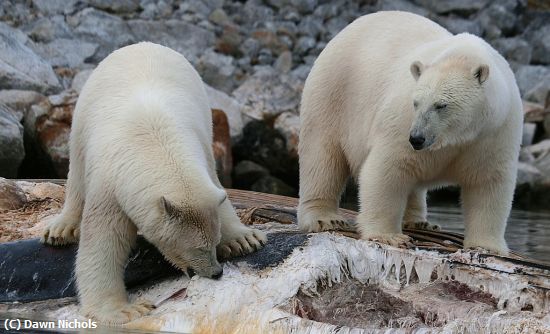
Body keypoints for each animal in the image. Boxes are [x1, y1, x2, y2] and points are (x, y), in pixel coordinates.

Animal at [41, 41, 268, 324]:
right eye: (196, 248)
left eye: (214, 242)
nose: (216, 272)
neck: (153, 141)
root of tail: (140, 44)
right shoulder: (111, 183)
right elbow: (104, 241)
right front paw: (125, 309)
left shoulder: (201, 146)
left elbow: (217, 188)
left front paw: (243, 239)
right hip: (82, 118)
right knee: (77, 169)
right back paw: (62, 229)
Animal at [300, 11, 524, 254]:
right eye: (416, 103)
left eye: (441, 105)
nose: (417, 138)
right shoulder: (401, 123)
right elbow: (388, 169)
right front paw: (389, 236)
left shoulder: (494, 132)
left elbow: (489, 182)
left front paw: (488, 246)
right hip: (332, 94)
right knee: (322, 157)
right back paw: (324, 218)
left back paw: (419, 221)